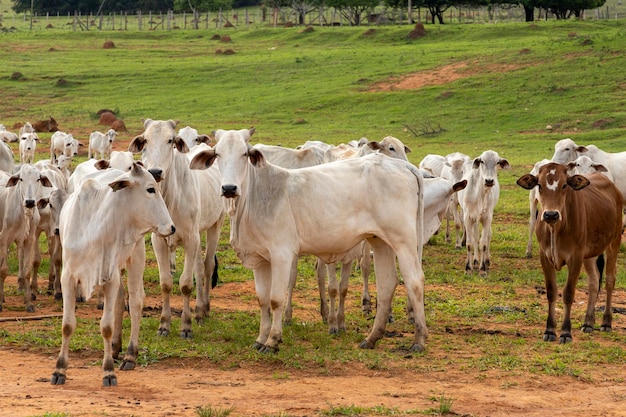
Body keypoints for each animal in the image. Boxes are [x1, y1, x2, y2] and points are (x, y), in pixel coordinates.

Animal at [0, 164, 52, 310]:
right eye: (21, 179)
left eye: (38, 179)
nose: (30, 201)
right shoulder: (4, 239)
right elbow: (3, 270)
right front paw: (0, 302)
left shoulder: (29, 240)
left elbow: (27, 271)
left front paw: (28, 303)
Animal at [129, 118, 224, 336]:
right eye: (145, 140)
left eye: (170, 140)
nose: (155, 172)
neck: (170, 197)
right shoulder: (159, 240)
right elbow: (166, 282)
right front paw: (164, 324)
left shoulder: (191, 238)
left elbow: (186, 284)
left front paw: (186, 325)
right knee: (198, 268)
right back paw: (199, 310)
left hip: (216, 224)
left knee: (207, 266)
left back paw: (204, 310)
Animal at [188, 127, 426, 352]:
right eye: (217, 154)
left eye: (244, 153)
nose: (229, 188)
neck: (255, 197)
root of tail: (403, 166)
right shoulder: (259, 258)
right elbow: (263, 300)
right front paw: (260, 339)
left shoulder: (282, 254)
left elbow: (276, 299)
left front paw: (272, 341)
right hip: (380, 241)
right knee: (387, 283)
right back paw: (372, 338)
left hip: (403, 240)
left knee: (415, 280)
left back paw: (419, 339)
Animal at [516, 163, 620, 344]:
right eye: (539, 185)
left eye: (564, 185)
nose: (551, 214)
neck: (556, 228)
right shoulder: (545, 257)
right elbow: (551, 291)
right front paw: (550, 330)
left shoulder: (575, 258)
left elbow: (568, 293)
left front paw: (565, 332)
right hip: (590, 254)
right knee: (594, 281)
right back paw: (588, 322)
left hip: (613, 242)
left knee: (609, 280)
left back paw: (606, 322)